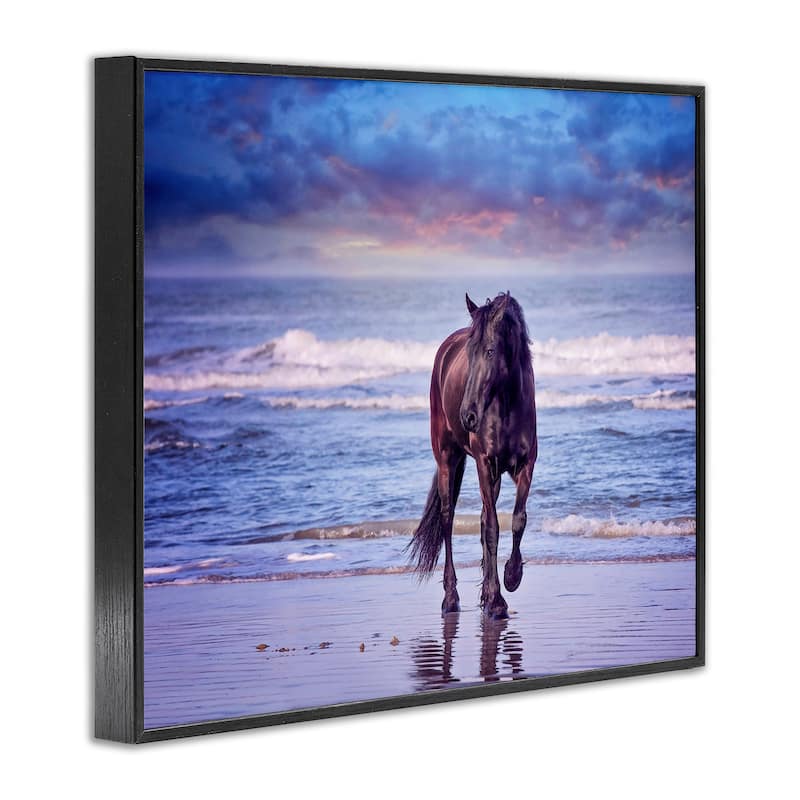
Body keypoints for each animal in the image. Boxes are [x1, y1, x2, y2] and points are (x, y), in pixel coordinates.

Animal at [409, 292, 538, 619]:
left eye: (491, 351)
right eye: (470, 353)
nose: (467, 416)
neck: (506, 406)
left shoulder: (525, 465)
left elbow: (517, 519)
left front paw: (511, 577)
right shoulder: (483, 463)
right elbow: (492, 527)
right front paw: (497, 601)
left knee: (481, 519)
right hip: (447, 458)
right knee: (447, 519)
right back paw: (451, 599)